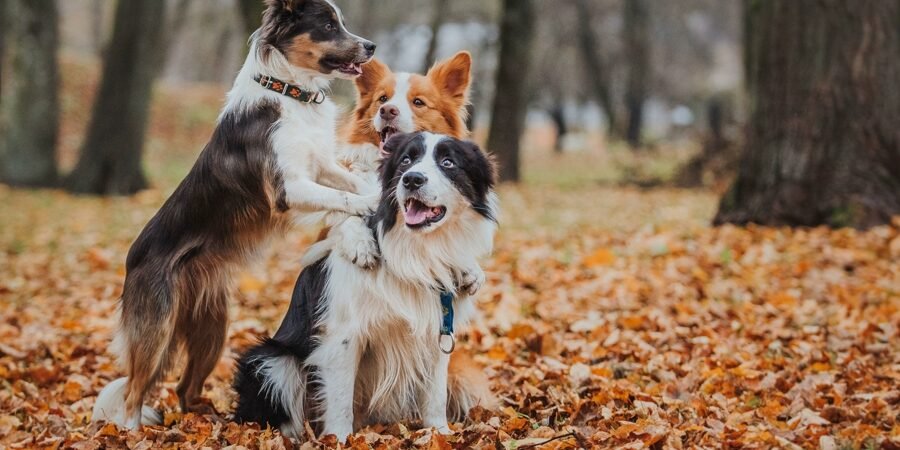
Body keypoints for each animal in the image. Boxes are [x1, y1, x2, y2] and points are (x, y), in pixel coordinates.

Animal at [94, 0, 380, 428]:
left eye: (340, 22)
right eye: (328, 25)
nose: (371, 46)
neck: (289, 92)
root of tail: (132, 260)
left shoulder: (321, 166)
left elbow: (350, 188)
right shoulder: (287, 189)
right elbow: (345, 199)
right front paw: (372, 208)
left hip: (213, 329)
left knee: (184, 388)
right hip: (157, 328)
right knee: (133, 392)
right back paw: (132, 431)